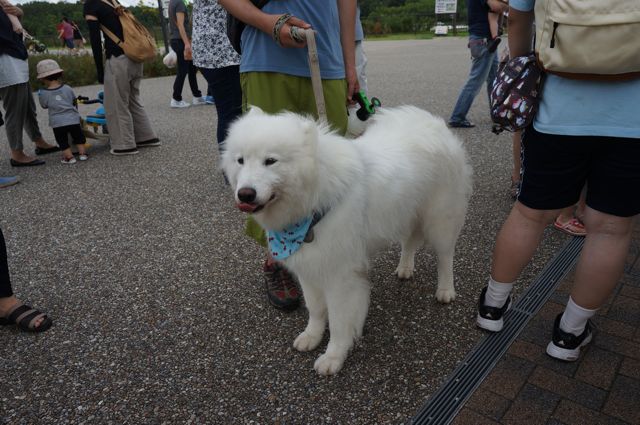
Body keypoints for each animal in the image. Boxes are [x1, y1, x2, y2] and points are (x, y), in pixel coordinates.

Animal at [222, 106, 472, 374]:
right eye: (240, 160)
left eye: (270, 161)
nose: (245, 194)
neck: (314, 201)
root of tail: (431, 122)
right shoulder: (309, 267)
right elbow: (316, 310)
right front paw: (311, 336)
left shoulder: (340, 277)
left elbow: (339, 322)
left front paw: (333, 357)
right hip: (405, 213)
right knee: (409, 243)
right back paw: (405, 268)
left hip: (440, 221)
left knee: (445, 257)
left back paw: (445, 290)